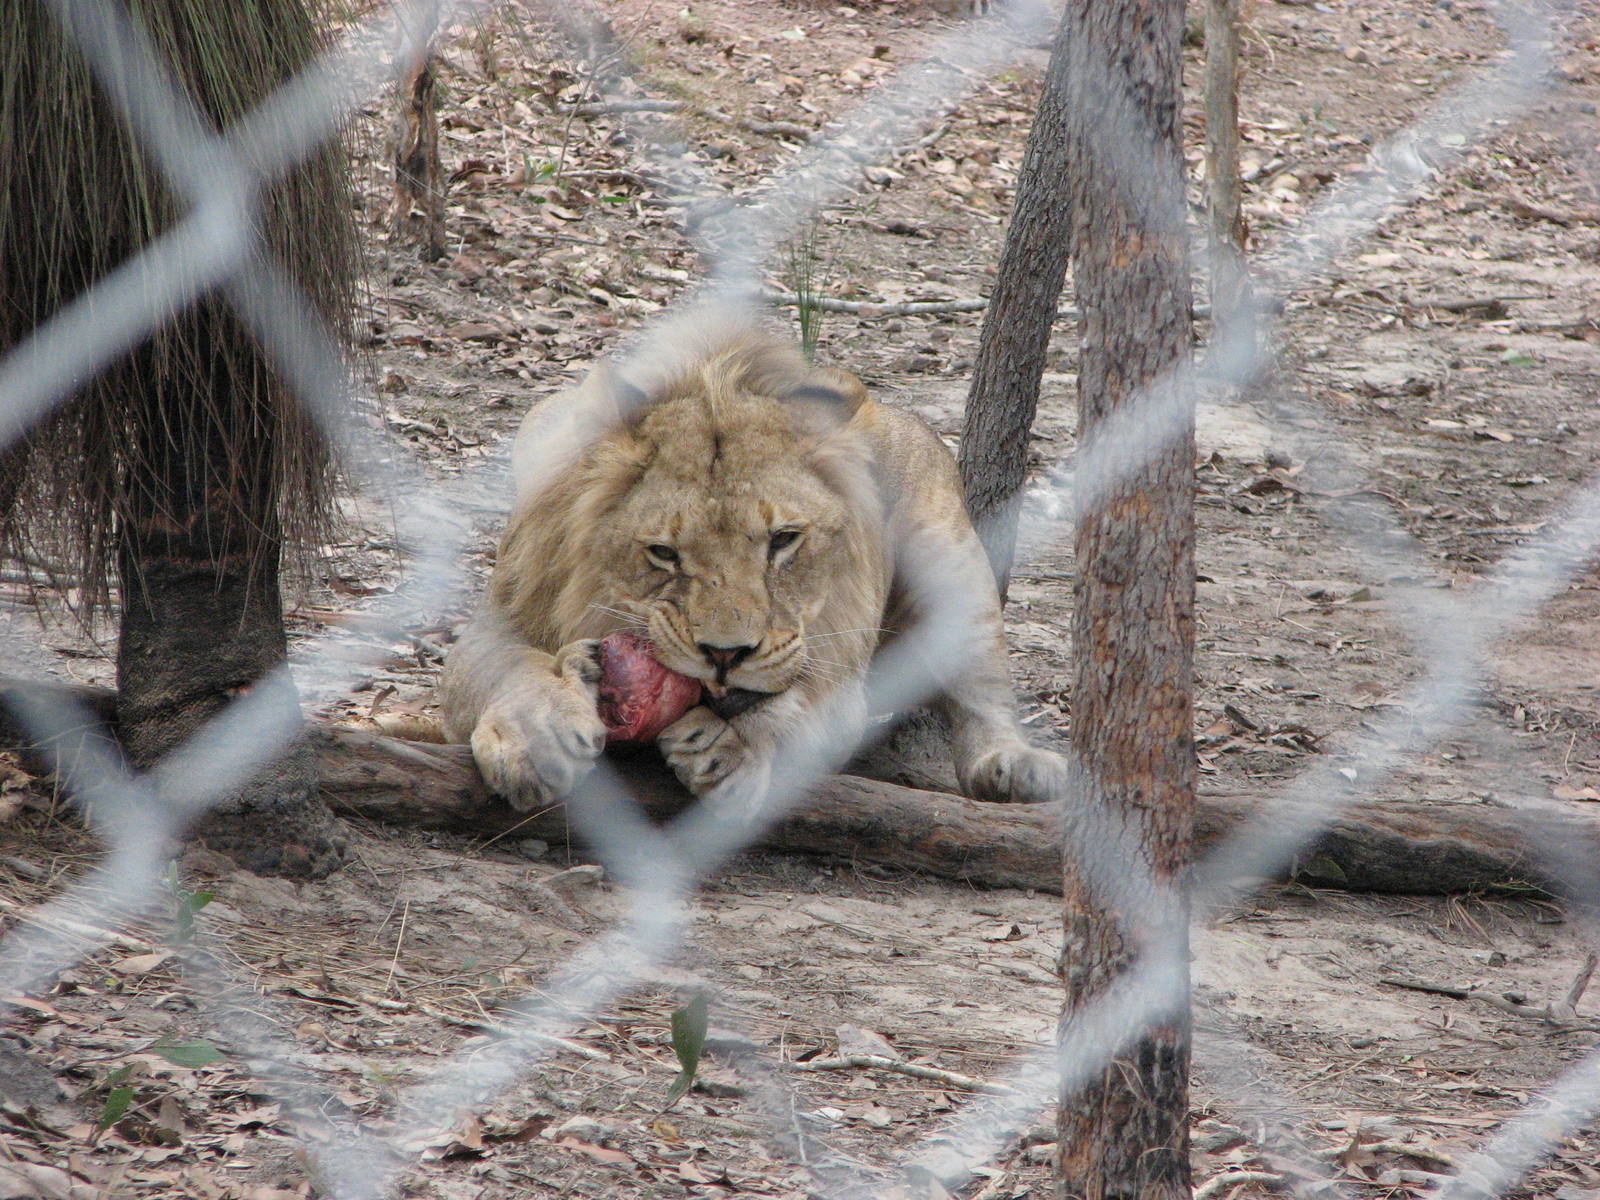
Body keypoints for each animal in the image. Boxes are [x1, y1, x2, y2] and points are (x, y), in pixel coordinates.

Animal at [440, 326, 1066, 812]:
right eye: (664, 552)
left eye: (783, 541)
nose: (725, 655)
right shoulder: (505, 609)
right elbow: (506, 667)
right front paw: (539, 735)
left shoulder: (842, 674)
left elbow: (804, 714)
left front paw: (729, 749)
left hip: (950, 559)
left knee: (982, 686)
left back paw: (1017, 767)